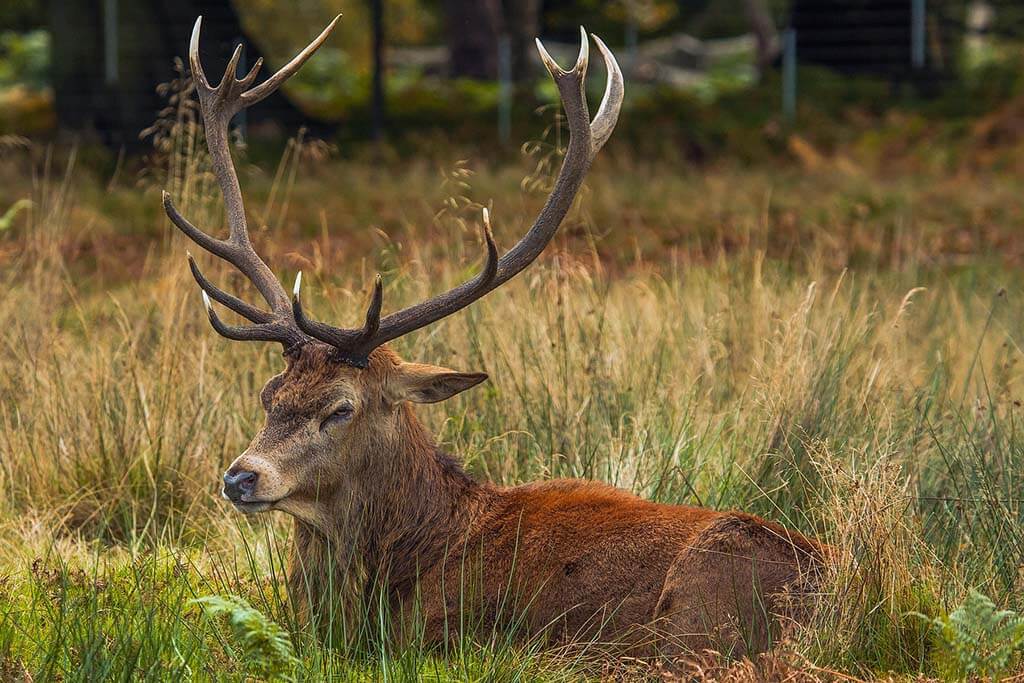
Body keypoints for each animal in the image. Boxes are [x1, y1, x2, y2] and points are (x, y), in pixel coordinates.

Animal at [163, 14, 827, 655]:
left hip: (695, 615)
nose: (240, 476)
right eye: (268, 396)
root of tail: (831, 585)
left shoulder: (447, 636)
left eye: (340, 408)